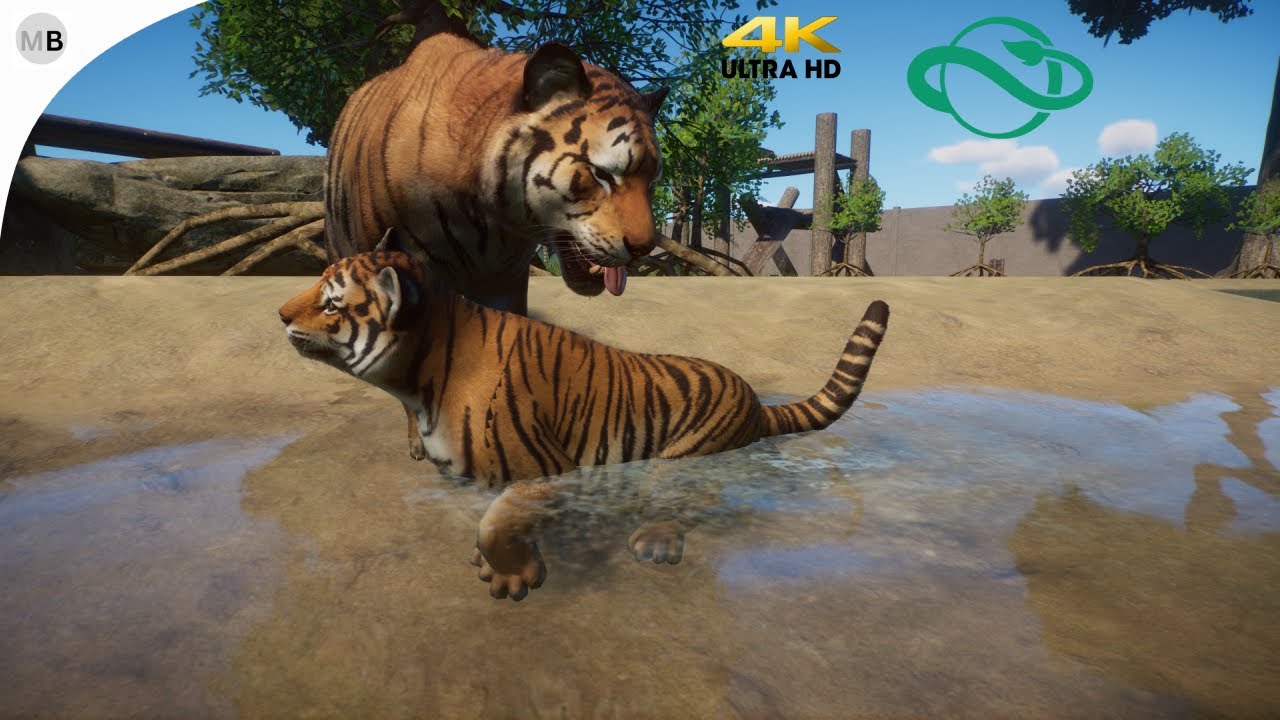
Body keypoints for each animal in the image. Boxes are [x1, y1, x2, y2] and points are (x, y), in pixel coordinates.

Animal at [279, 229, 891, 600]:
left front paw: (513, 577)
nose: (280, 313)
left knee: (691, 500)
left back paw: (655, 544)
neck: (418, 378)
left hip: (679, 460)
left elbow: (496, 522)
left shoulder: (550, 470)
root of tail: (756, 405)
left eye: (331, 303)